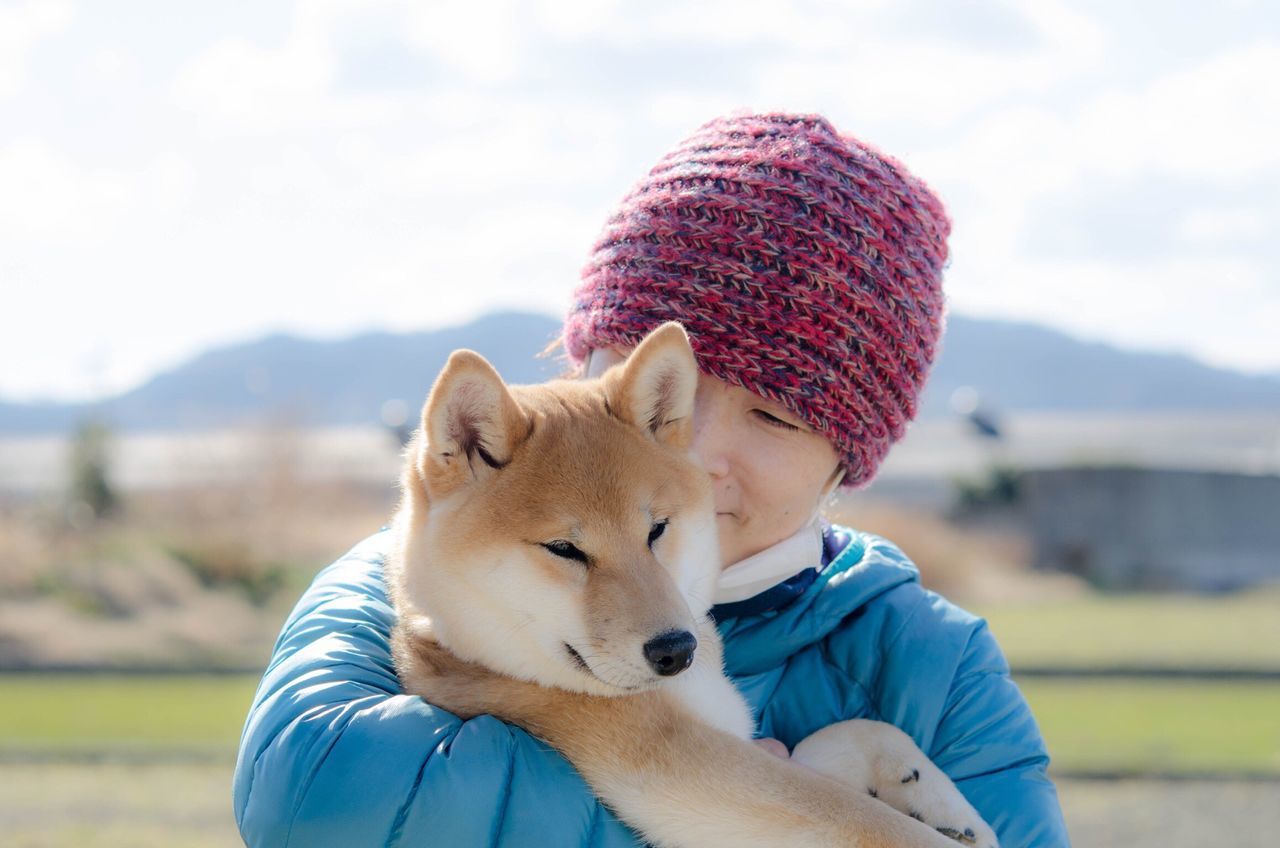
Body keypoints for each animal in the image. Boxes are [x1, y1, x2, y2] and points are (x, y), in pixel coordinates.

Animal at [384, 325, 993, 848]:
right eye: (563, 549)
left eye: (657, 529)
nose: (676, 650)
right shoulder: (678, 768)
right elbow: (858, 815)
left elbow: (851, 734)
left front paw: (934, 796)